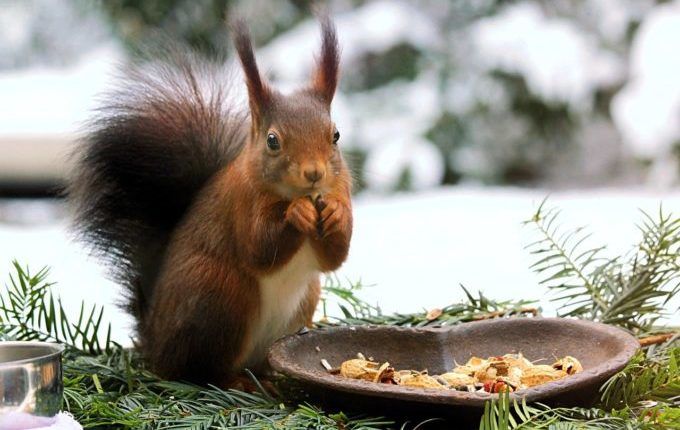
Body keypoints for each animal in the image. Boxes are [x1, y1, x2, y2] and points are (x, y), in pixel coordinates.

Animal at [69, 17, 354, 386]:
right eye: (272, 141)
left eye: (335, 135)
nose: (314, 173)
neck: (292, 193)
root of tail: (154, 344)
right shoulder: (241, 203)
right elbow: (260, 249)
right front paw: (297, 214)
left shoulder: (340, 188)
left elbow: (333, 258)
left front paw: (335, 215)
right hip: (220, 293)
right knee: (200, 372)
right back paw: (239, 383)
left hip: (303, 299)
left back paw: (268, 377)